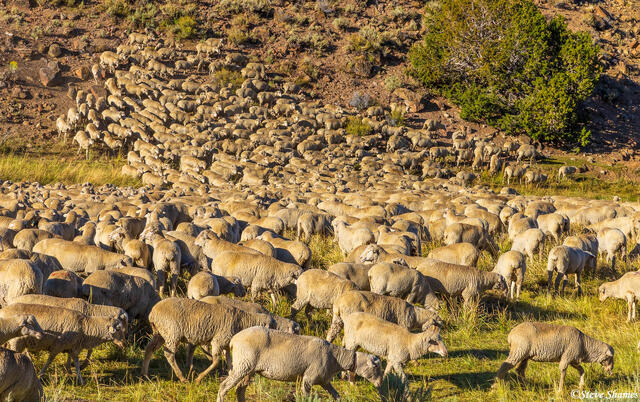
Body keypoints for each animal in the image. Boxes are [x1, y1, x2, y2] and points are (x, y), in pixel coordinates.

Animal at [141, 298, 277, 384]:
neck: (243, 321)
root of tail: (152, 313)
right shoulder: (218, 341)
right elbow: (216, 361)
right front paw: (198, 379)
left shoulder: (226, 344)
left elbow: (229, 362)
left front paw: (231, 377)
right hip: (172, 333)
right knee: (169, 354)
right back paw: (182, 378)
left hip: (160, 333)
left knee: (149, 349)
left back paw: (145, 375)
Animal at [216, 326, 383, 401]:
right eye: (376, 367)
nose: (380, 384)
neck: (337, 358)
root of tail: (233, 340)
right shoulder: (308, 378)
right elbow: (307, 396)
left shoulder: (324, 380)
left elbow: (337, 395)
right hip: (243, 364)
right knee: (224, 386)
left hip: (248, 369)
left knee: (239, 389)